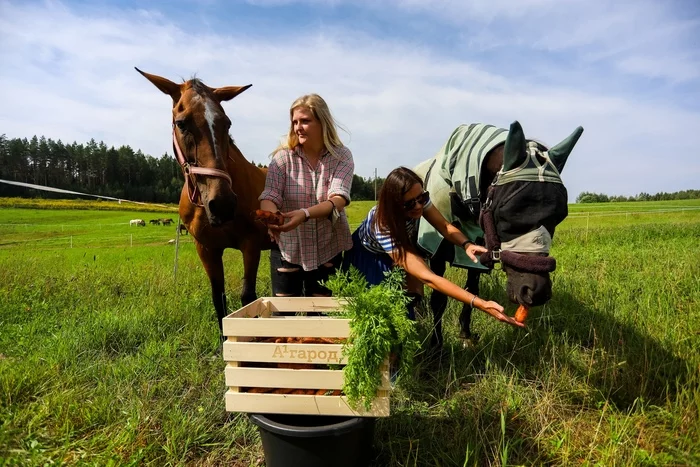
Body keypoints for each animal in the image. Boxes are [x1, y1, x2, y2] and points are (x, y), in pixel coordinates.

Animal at [135, 68, 272, 332]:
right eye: (181, 123)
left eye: (227, 123)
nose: (223, 204)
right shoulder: (207, 249)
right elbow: (219, 299)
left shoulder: (251, 244)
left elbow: (248, 298)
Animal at [412, 120, 584, 348]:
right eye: (505, 210)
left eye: (560, 215)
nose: (535, 291)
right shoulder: (437, 254)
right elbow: (439, 299)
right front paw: (436, 346)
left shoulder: (477, 255)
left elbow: (471, 291)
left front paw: (465, 333)